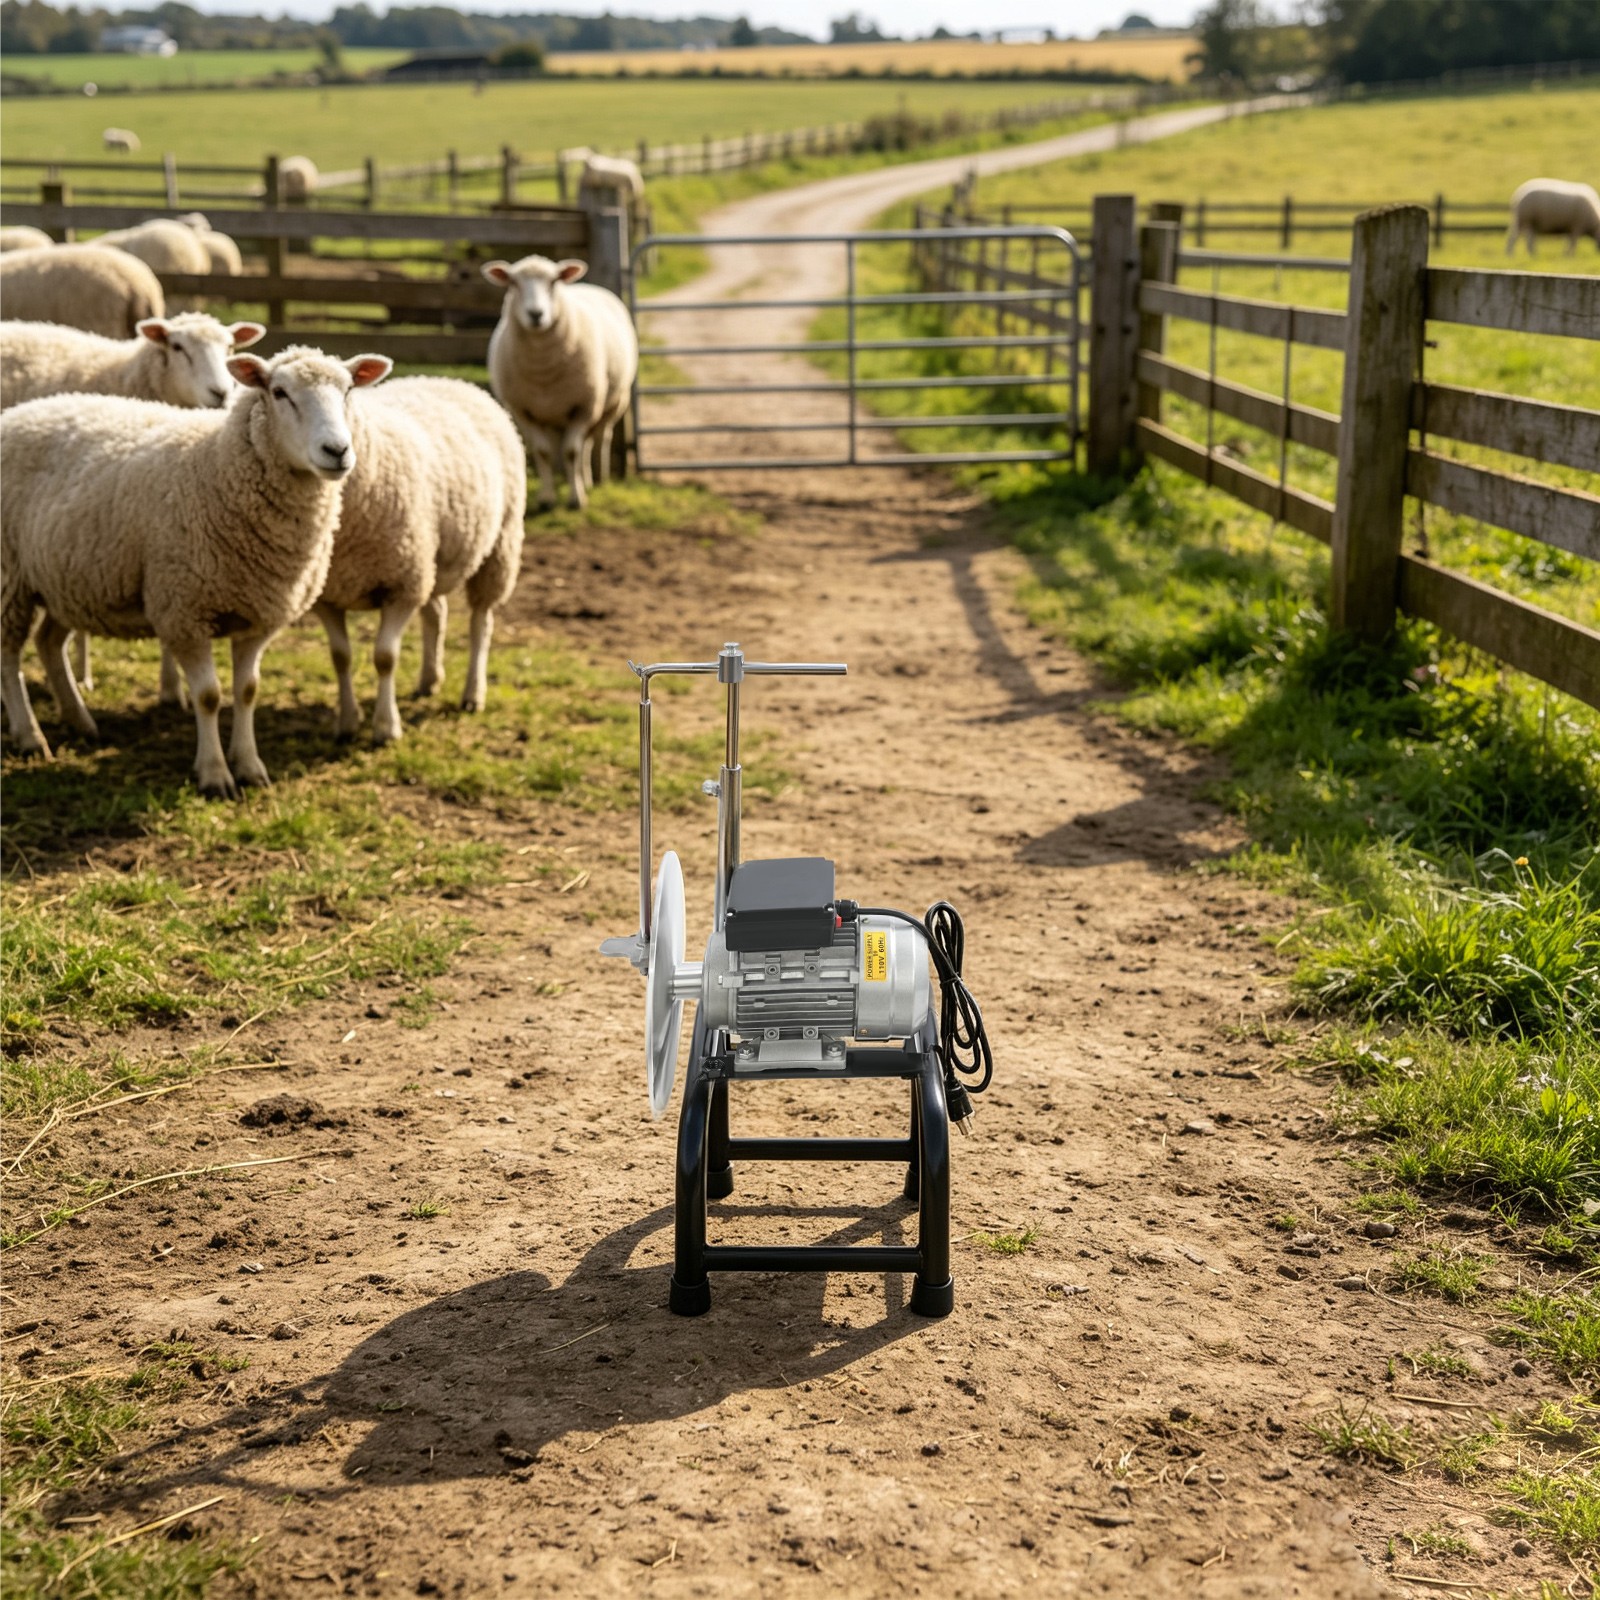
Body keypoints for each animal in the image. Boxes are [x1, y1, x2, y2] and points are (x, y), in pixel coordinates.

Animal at [1, 346, 393, 796]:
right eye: (279, 392)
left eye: (348, 390)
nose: (337, 450)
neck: (217, 465)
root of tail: (17, 412)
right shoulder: (183, 611)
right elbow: (208, 695)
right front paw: (215, 774)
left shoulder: (259, 613)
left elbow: (247, 691)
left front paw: (250, 766)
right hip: (10, 577)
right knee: (9, 654)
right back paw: (30, 736)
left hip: (66, 580)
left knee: (49, 643)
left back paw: (80, 721)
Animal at [311, 376, 526, 744]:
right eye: (275, 391)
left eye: (347, 389)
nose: (335, 451)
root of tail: (453, 382)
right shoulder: (327, 596)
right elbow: (340, 657)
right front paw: (347, 722)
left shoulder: (402, 586)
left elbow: (385, 657)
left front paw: (386, 727)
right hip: (432, 559)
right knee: (436, 613)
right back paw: (429, 680)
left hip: (498, 547)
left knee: (480, 624)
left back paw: (473, 694)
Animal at [483, 254, 637, 511]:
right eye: (513, 283)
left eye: (554, 281)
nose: (536, 314)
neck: (543, 369)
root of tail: (585, 284)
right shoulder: (523, 412)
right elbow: (543, 452)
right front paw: (547, 498)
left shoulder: (584, 407)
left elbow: (572, 451)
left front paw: (576, 499)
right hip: (553, 414)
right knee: (566, 445)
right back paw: (569, 479)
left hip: (614, 403)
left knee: (597, 439)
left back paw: (596, 480)